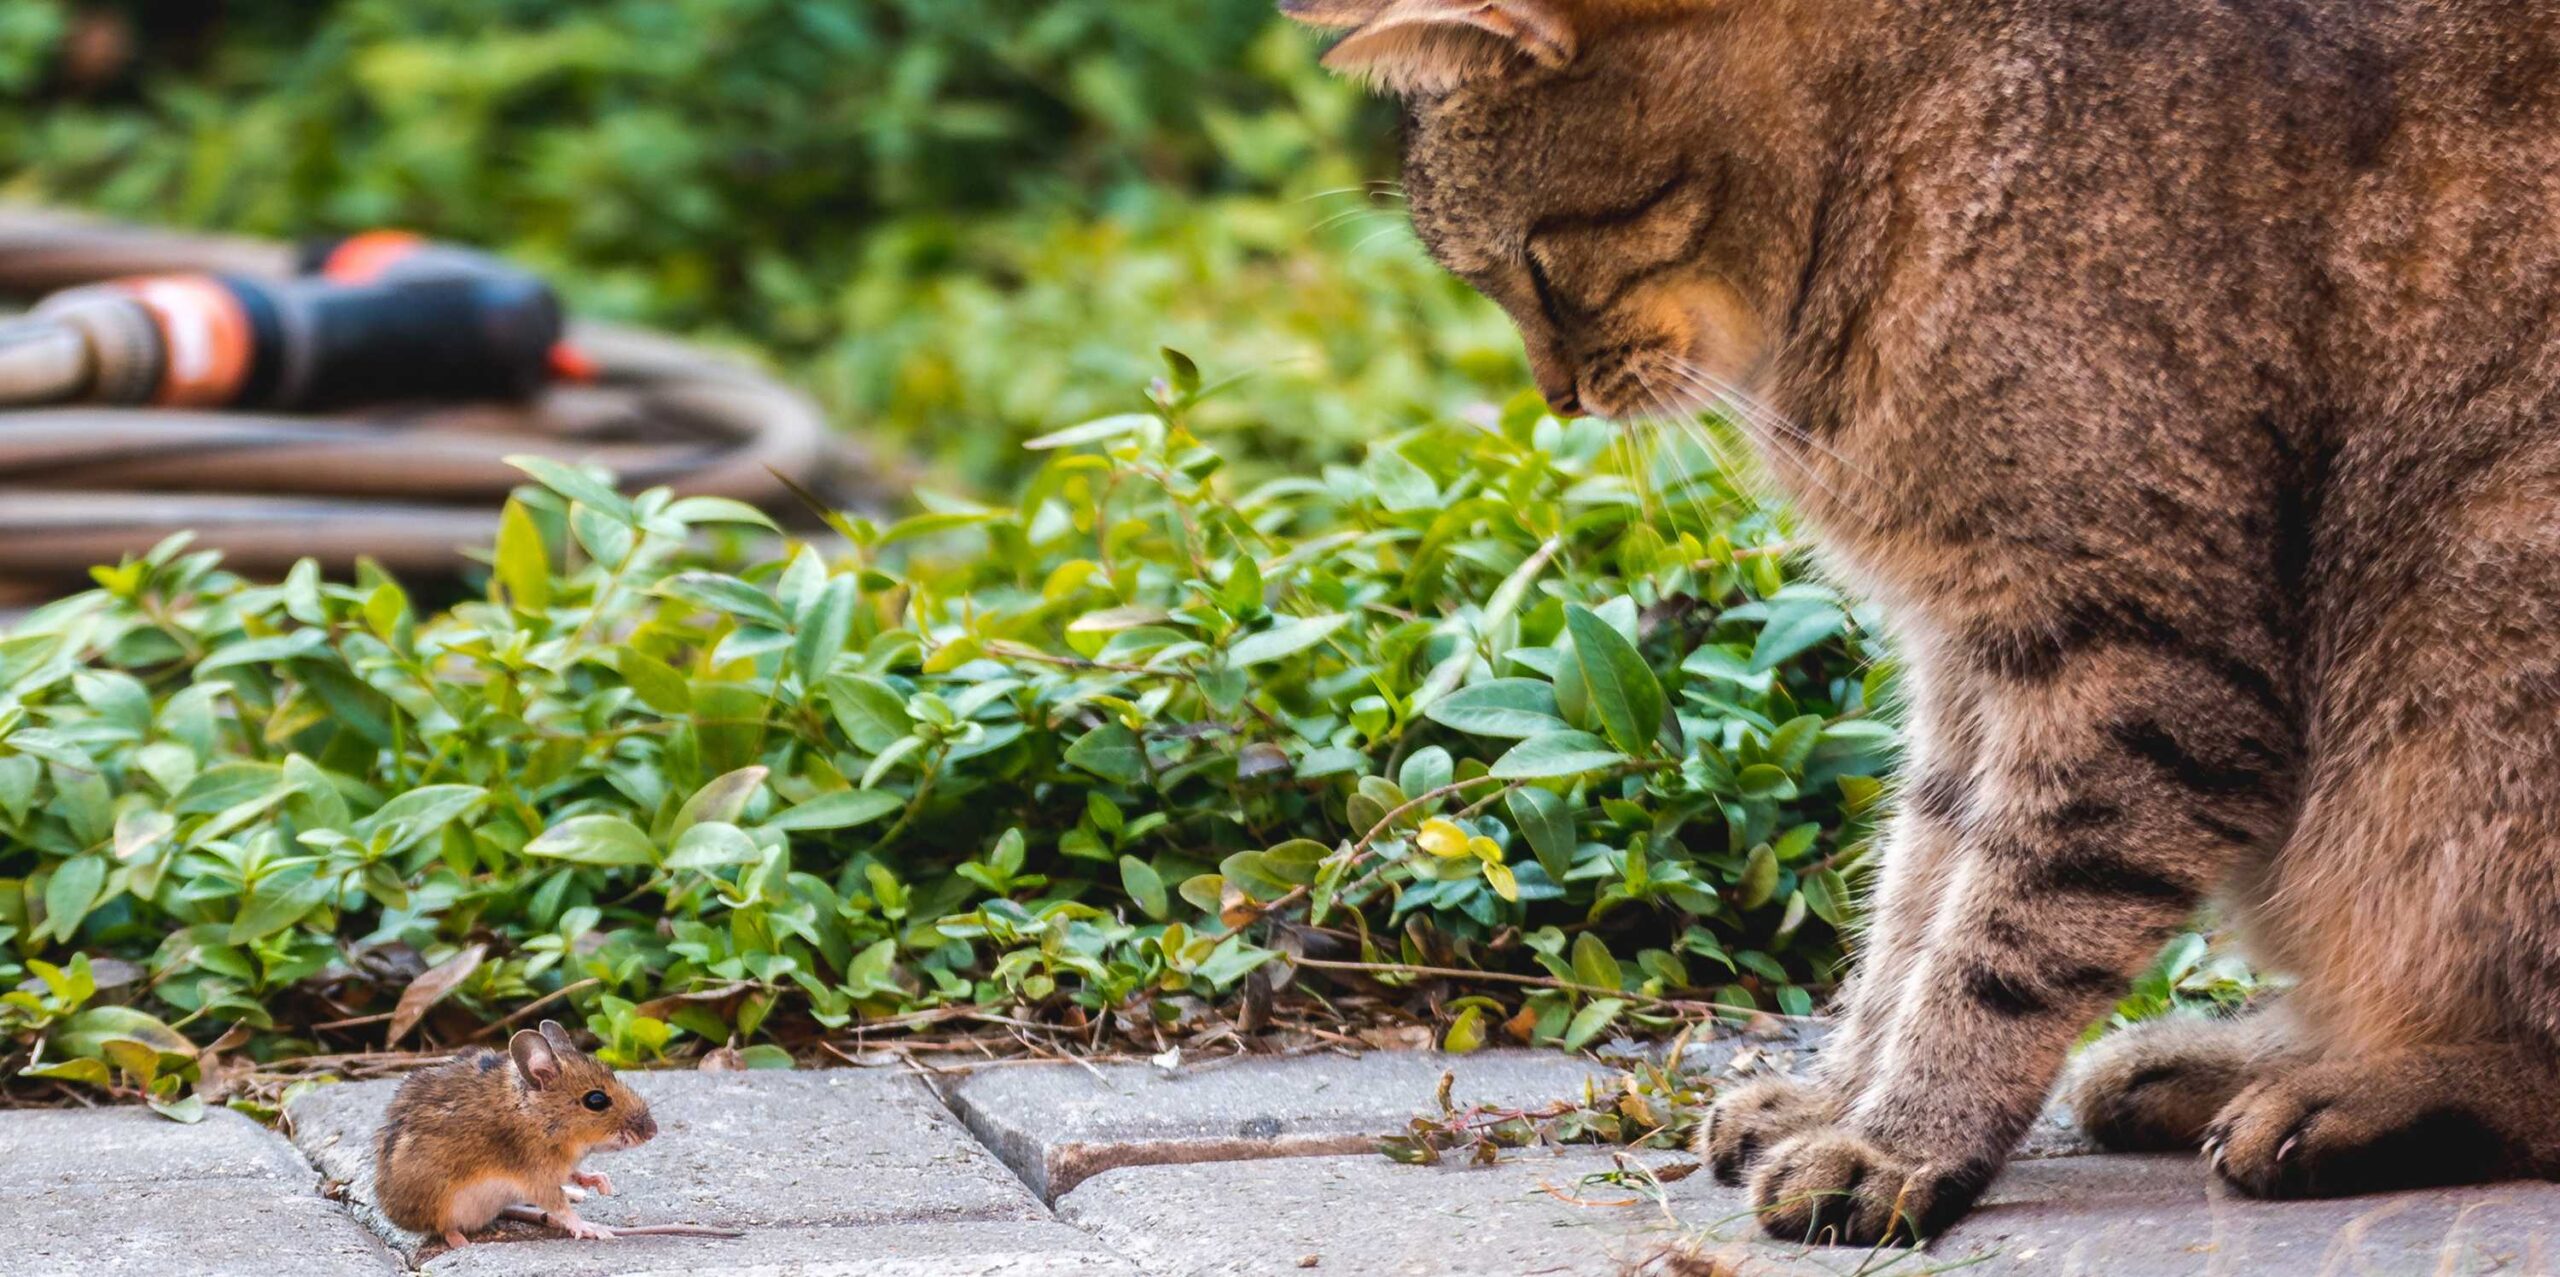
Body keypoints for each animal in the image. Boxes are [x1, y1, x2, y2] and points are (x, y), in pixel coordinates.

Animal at [1290, 0, 2560, 1248]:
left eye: (1532, 262)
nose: (1557, 396)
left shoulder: (2135, 655)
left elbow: (2005, 937)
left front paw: (1896, 1141)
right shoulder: (1967, 654)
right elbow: (1916, 902)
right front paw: (1837, 1094)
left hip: (2472, 624)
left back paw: (2346, 1093)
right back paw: (2213, 1062)